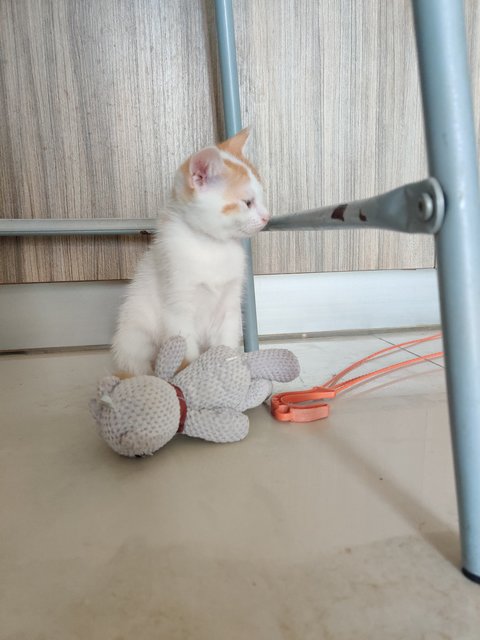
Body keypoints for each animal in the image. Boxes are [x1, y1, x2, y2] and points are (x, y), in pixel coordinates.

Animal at [112, 128, 270, 376]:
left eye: (262, 198)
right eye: (247, 202)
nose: (267, 217)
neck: (211, 247)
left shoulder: (230, 307)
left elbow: (226, 343)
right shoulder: (177, 306)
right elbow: (184, 353)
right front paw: (186, 377)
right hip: (134, 333)